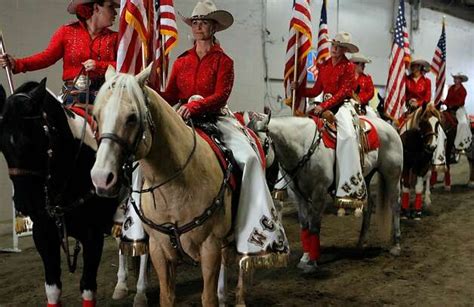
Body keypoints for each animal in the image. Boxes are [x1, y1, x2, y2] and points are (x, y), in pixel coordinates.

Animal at [0, 80, 118, 306]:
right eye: (2, 146)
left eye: (34, 138)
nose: (25, 203)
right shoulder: (43, 234)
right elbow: (53, 288)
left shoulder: (93, 234)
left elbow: (88, 286)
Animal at [90, 68, 250, 306]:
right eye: (96, 116)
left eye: (132, 117)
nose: (101, 177)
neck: (176, 188)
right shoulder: (159, 249)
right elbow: (167, 296)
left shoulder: (209, 247)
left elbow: (208, 297)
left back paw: (239, 298)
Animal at [248, 114, 404, 274]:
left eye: (261, 144)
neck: (303, 148)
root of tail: (389, 126)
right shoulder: (298, 195)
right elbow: (304, 224)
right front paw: (305, 258)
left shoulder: (319, 192)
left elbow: (314, 226)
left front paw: (312, 262)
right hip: (365, 177)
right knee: (368, 206)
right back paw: (361, 243)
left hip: (392, 175)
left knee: (395, 205)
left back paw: (396, 246)